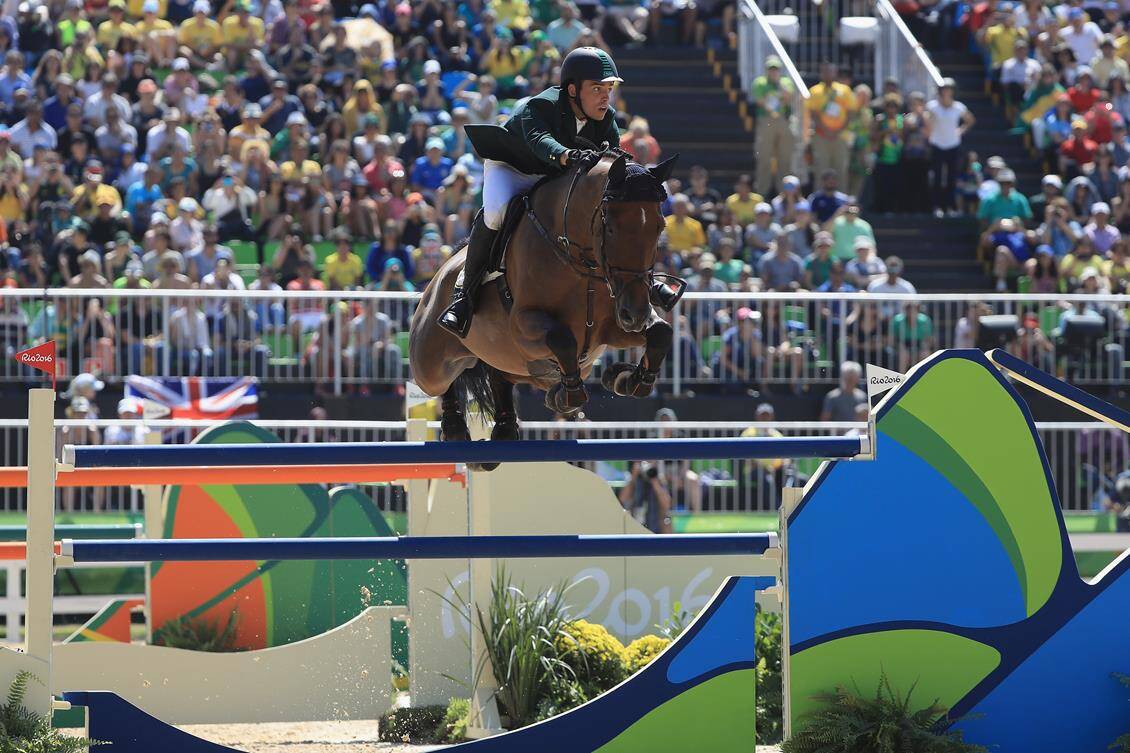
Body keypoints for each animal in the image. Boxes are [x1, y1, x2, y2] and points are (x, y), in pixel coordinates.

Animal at [413, 149, 678, 461]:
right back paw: (454, 425)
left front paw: (626, 378)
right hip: (430, 366)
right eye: (611, 228)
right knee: (442, 383)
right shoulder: (523, 327)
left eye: (659, 227)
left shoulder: (608, 329)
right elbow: (562, 338)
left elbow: (661, 332)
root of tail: (441, 272)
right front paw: (567, 395)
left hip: (516, 363)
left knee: (501, 375)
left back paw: (506, 427)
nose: (634, 314)